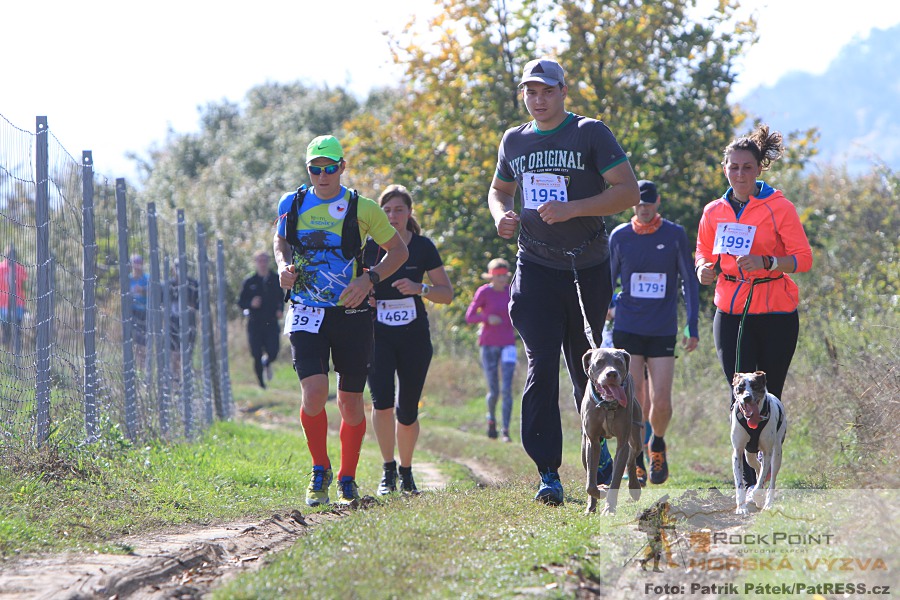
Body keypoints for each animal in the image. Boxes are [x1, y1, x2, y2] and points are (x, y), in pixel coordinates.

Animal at [584, 350, 648, 512]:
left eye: (619, 362)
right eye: (599, 362)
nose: (612, 373)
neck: (607, 405)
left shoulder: (622, 442)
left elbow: (617, 477)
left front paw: (609, 508)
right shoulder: (592, 441)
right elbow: (590, 484)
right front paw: (600, 492)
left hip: (636, 433)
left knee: (632, 456)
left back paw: (634, 486)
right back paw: (590, 506)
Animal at [732, 370, 788, 516]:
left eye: (755, 386)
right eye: (740, 387)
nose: (747, 397)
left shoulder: (767, 452)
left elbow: (762, 478)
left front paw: (757, 495)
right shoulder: (737, 452)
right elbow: (739, 483)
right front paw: (741, 507)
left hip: (777, 453)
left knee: (771, 478)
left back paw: (767, 503)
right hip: (748, 454)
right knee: (756, 466)